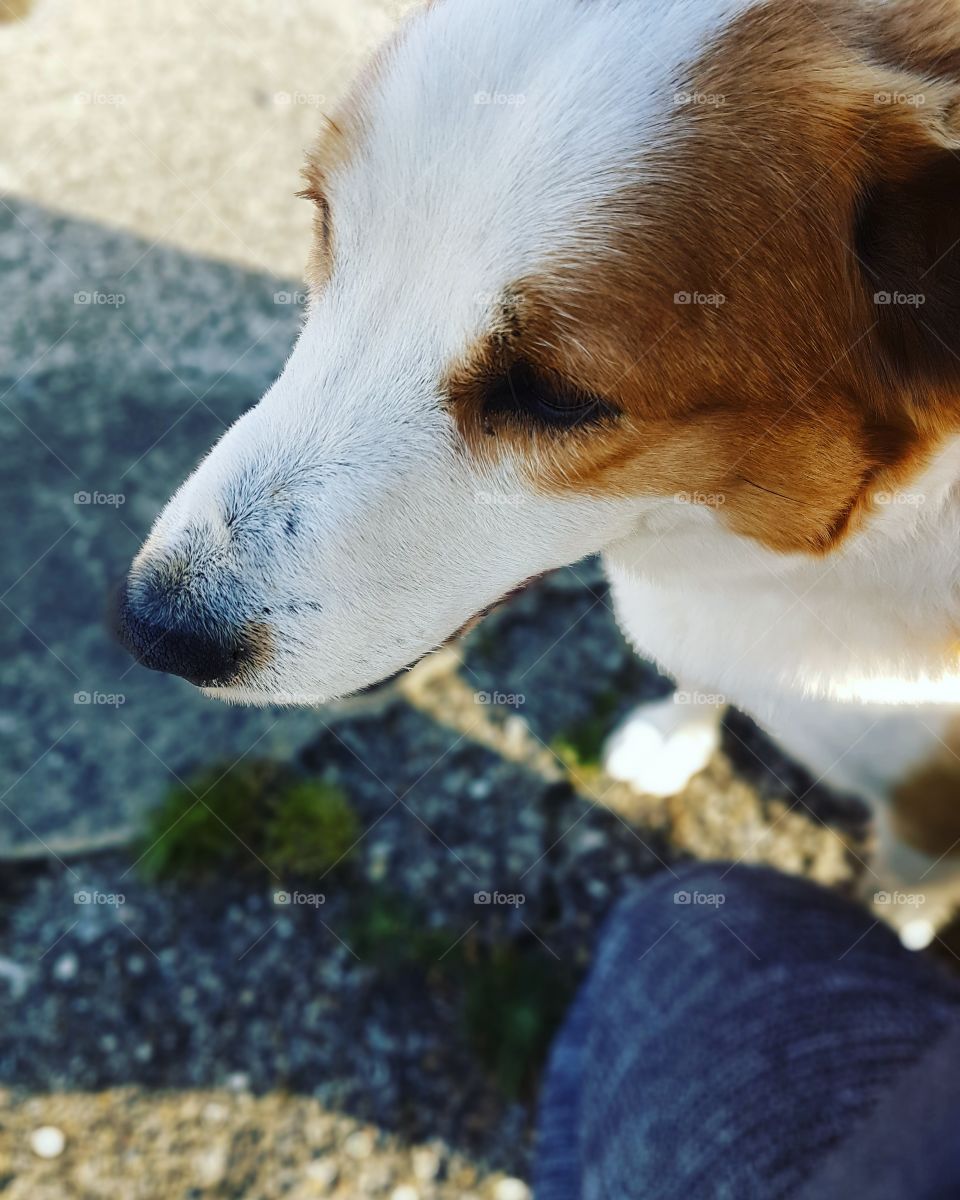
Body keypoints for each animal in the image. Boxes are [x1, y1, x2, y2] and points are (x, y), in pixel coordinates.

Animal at [118, 0, 960, 926]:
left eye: (554, 397)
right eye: (324, 224)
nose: (154, 628)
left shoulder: (928, 817)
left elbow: (905, 891)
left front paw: (896, 929)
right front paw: (674, 729)